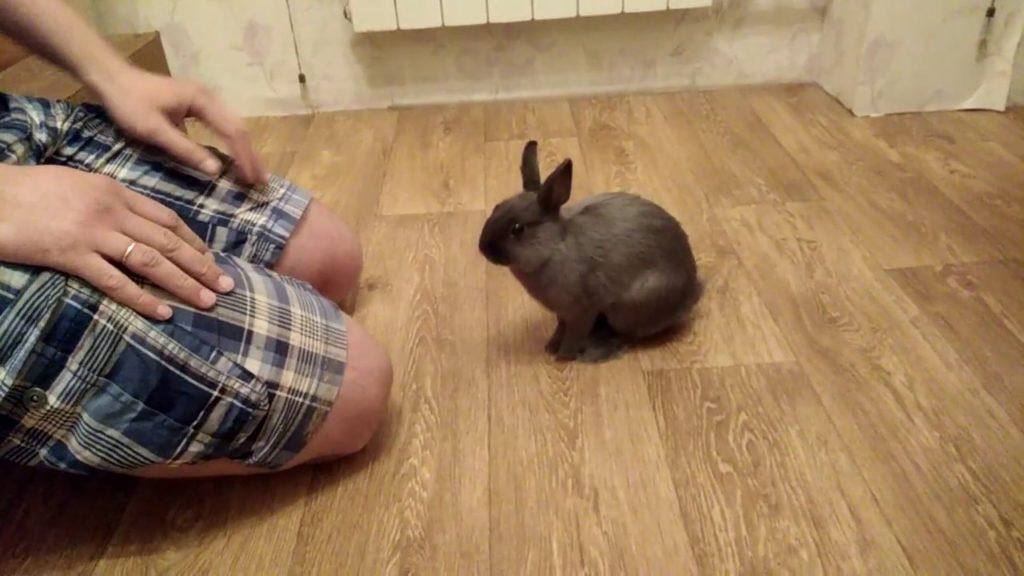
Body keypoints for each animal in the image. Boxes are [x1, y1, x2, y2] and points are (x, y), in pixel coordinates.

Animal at [479, 140, 702, 363]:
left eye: (518, 228)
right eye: (497, 207)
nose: (483, 248)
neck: (555, 248)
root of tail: (692, 292)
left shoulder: (582, 311)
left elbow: (574, 334)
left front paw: (563, 356)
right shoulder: (562, 313)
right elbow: (561, 327)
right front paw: (551, 346)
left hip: (630, 307)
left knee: (629, 334)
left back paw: (597, 351)